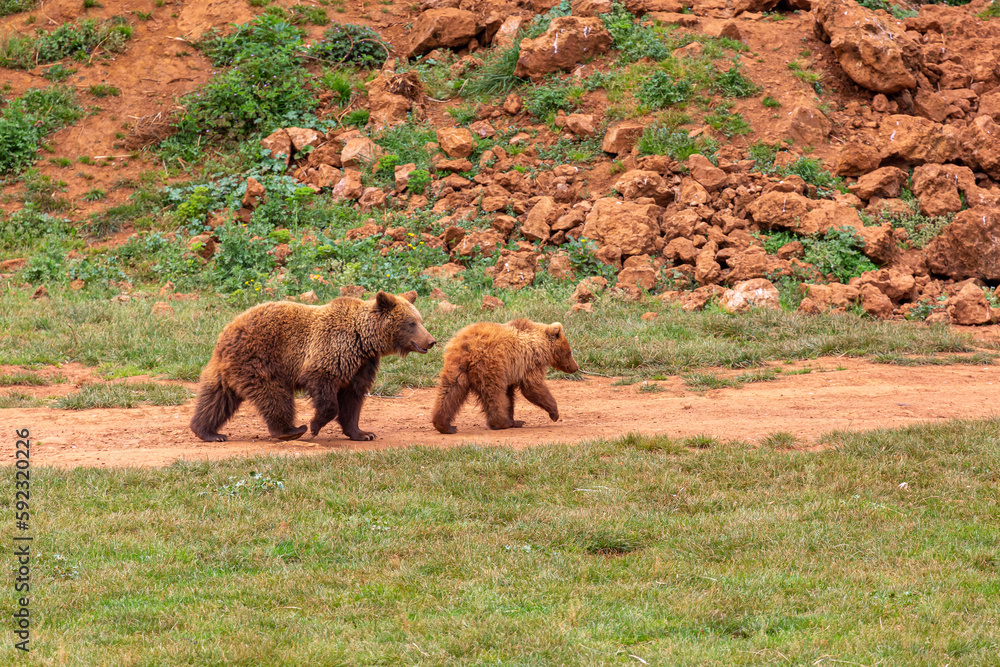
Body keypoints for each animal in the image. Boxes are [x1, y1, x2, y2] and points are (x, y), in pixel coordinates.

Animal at [190, 291, 435, 443]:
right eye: (411, 323)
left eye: (421, 320)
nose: (431, 341)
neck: (363, 341)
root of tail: (228, 329)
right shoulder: (330, 354)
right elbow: (327, 394)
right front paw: (315, 425)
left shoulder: (361, 366)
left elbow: (353, 399)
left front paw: (363, 433)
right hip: (260, 360)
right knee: (274, 396)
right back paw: (290, 430)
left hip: (230, 368)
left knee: (217, 398)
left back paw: (207, 431)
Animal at [431, 318, 579, 434]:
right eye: (569, 351)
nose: (576, 367)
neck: (541, 346)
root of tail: (468, 348)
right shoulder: (529, 363)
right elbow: (532, 387)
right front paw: (554, 413)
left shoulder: (513, 371)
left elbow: (510, 396)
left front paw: (514, 418)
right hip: (491, 365)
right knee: (494, 394)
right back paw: (501, 423)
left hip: (455, 367)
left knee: (449, 391)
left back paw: (445, 426)